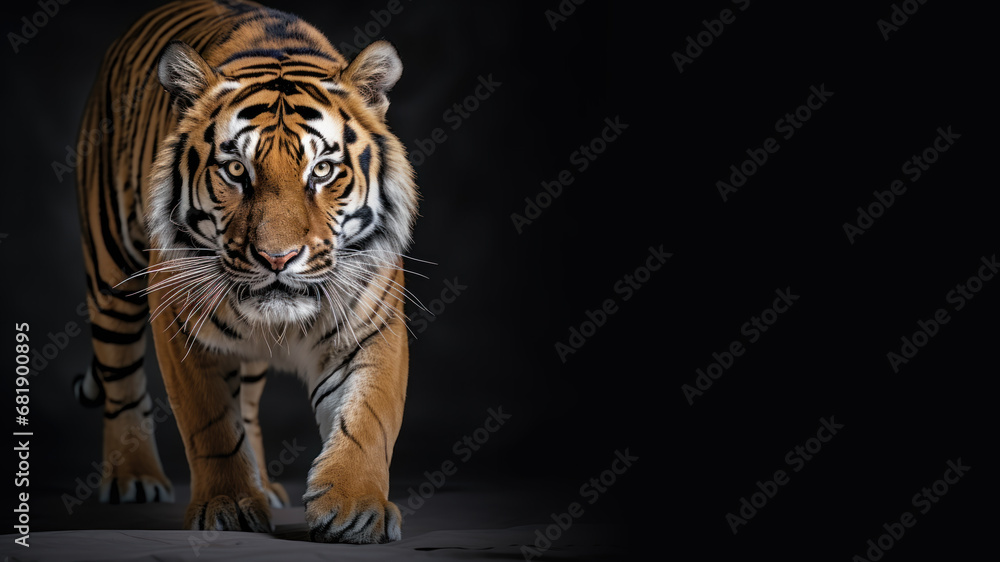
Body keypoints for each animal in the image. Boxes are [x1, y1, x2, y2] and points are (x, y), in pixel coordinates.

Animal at [70, 0, 419, 543]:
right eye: (236, 170)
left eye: (322, 171)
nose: (277, 258)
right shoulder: (183, 327)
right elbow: (212, 423)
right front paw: (228, 505)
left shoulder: (371, 325)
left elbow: (368, 418)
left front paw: (355, 508)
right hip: (110, 275)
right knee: (121, 379)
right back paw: (134, 478)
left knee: (250, 403)